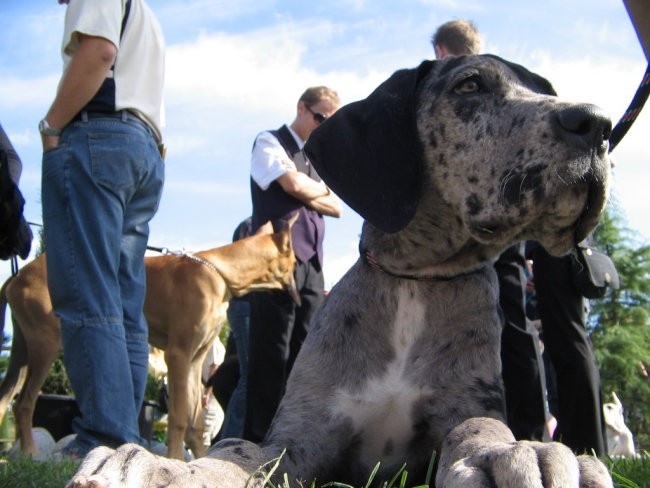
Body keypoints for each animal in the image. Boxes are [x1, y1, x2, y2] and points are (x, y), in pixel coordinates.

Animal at [0, 215, 298, 460]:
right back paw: (30, 453)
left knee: (6, 399)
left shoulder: (195, 362)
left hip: (22, 351)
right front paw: (176, 459)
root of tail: (18, 276)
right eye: (295, 263)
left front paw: (200, 461)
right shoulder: (178, 356)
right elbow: (179, 417)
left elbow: (195, 421)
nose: (297, 301)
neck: (219, 273)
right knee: (24, 404)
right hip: (46, 344)